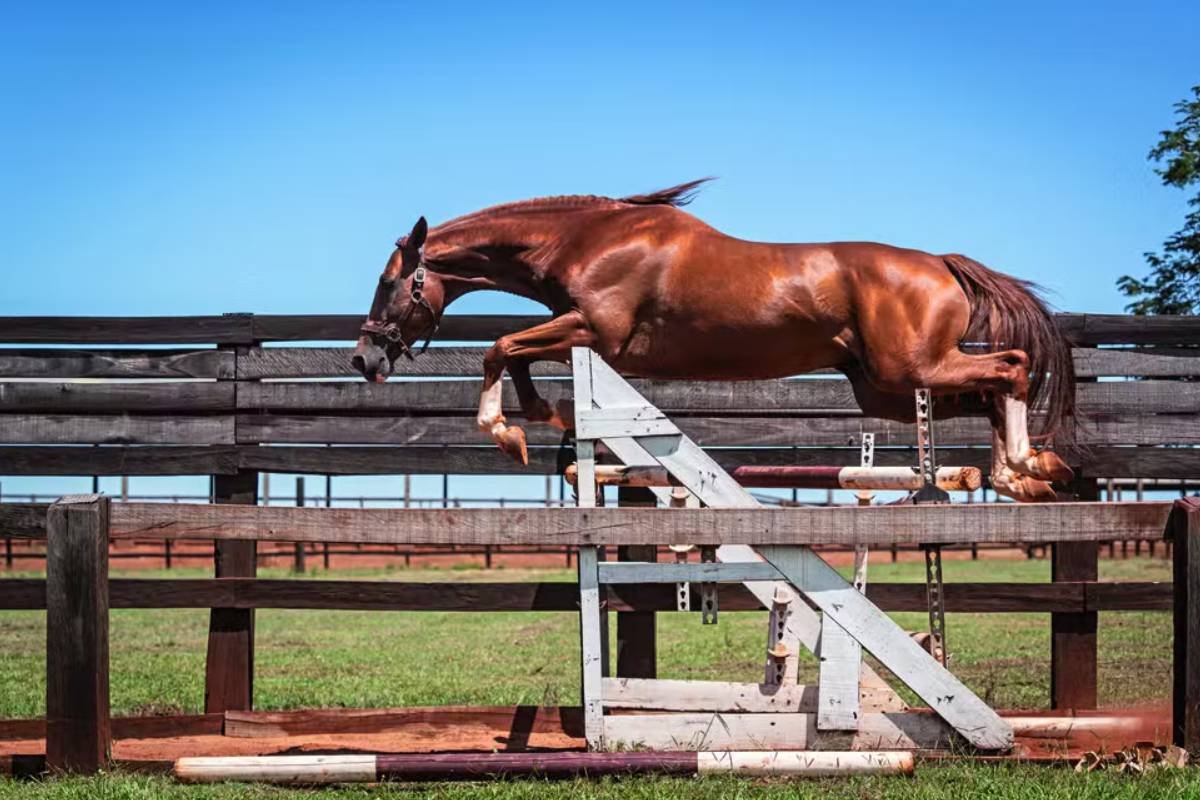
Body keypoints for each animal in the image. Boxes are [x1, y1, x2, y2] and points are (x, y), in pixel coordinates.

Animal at [352, 180, 1076, 502]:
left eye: (389, 282)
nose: (364, 358)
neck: (586, 239)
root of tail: (943, 265)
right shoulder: (582, 337)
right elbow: (516, 357)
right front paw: (543, 416)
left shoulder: (595, 332)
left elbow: (499, 347)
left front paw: (507, 430)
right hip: (888, 389)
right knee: (990, 386)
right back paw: (1026, 473)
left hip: (909, 369)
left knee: (1011, 367)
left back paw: (1026, 466)